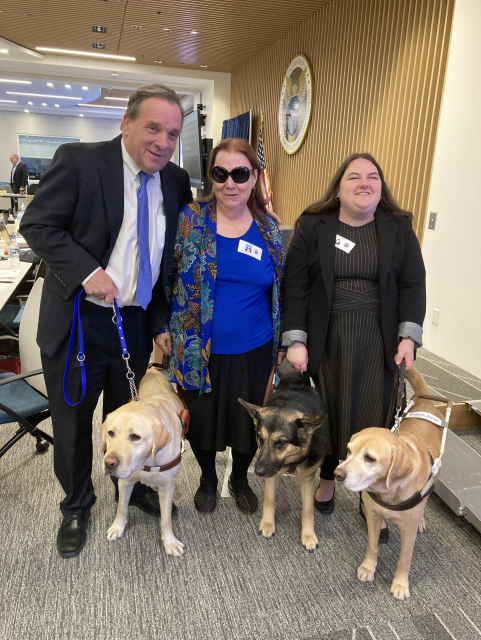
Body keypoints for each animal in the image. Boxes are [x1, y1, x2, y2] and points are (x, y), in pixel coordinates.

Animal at [100, 368, 185, 556]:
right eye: (110, 433)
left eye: (135, 437)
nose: (109, 463)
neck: (145, 463)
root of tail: (152, 368)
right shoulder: (125, 482)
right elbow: (122, 507)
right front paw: (117, 527)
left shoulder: (167, 486)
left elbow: (166, 518)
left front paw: (170, 542)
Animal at [239, 360, 330, 552]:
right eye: (260, 439)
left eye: (280, 443)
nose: (258, 472)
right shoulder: (272, 474)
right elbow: (269, 499)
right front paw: (267, 524)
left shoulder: (308, 478)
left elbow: (307, 510)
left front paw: (308, 535)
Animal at [334, 364, 442, 600]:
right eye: (349, 450)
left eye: (370, 458)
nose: (337, 474)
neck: (390, 492)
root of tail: (426, 402)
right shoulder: (373, 518)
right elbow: (372, 547)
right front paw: (368, 568)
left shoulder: (408, 531)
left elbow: (404, 559)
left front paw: (400, 584)